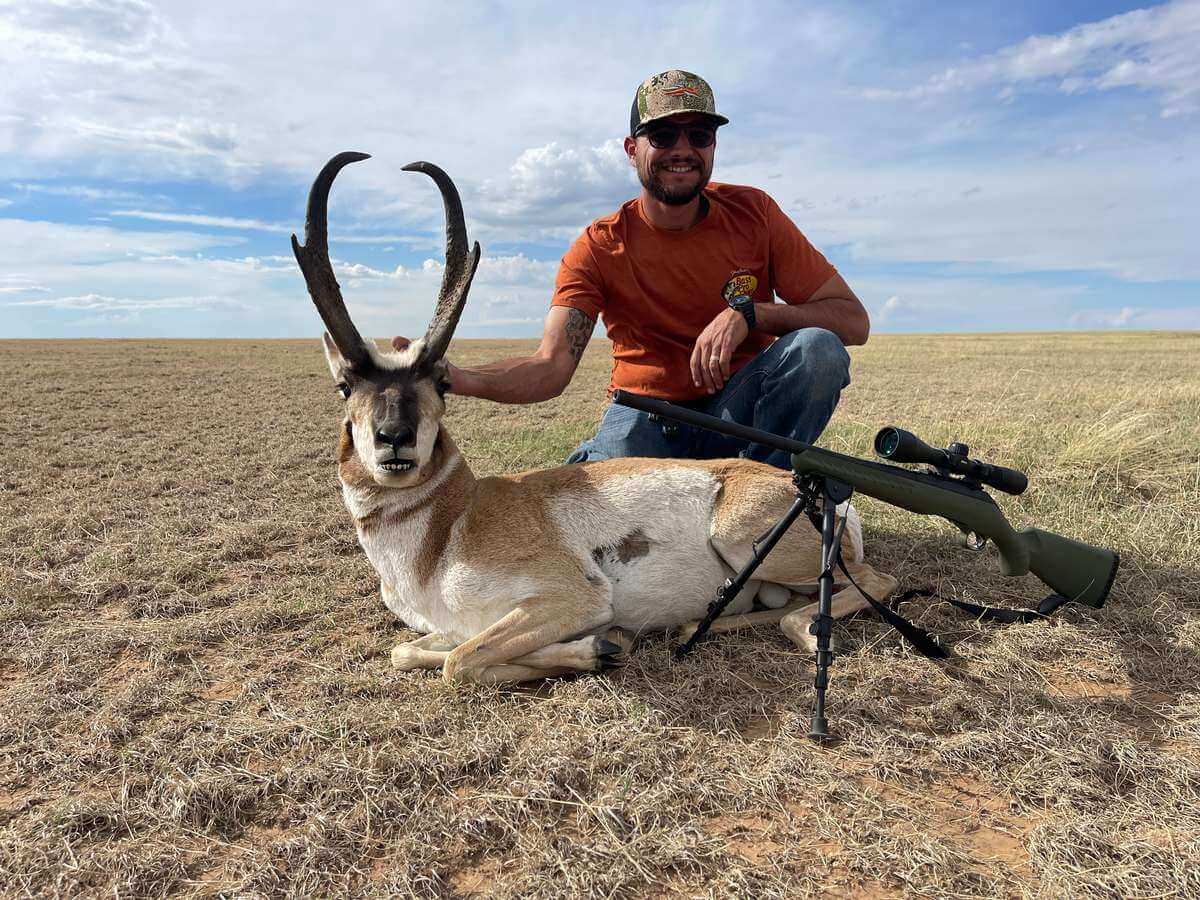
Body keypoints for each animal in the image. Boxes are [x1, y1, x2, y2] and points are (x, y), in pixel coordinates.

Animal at [291, 151, 899, 685]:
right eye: (345, 385)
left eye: (440, 382)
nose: (394, 439)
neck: (452, 522)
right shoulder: (448, 626)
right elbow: (410, 651)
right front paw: (603, 646)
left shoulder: (572, 596)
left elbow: (459, 662)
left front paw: (598, 646)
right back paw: (692, 626)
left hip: (741, 539)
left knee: (877, 581)